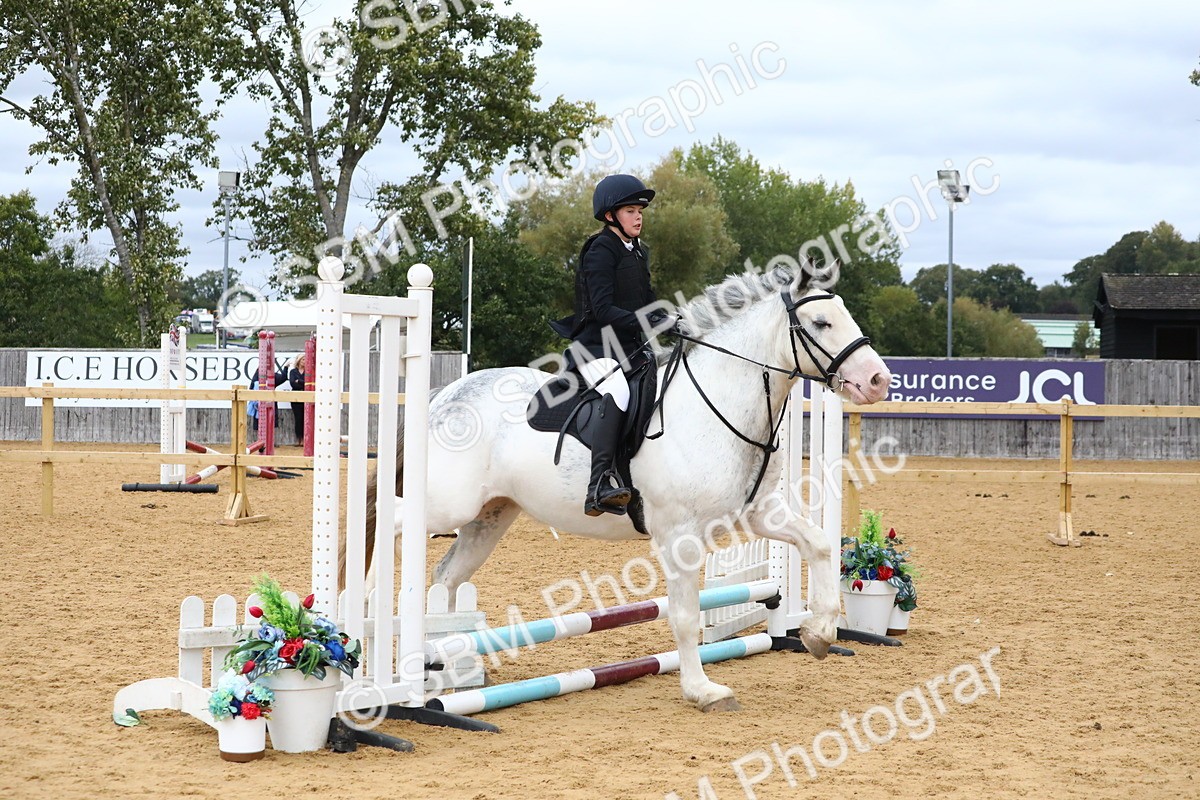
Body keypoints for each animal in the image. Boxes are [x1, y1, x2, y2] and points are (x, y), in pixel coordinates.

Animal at [349, 264, 891, 712]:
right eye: (820, 323)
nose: (878, 381)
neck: (721, 401)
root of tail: (446, 394)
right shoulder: (679, 536)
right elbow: (685, 616)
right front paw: (702, 691)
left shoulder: (760, 513)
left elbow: (819, 545)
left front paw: (819, 632)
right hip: (446, 503)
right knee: (392, 516)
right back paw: (370, 605)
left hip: (489, 518)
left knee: (444, 577)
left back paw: (439, 666)